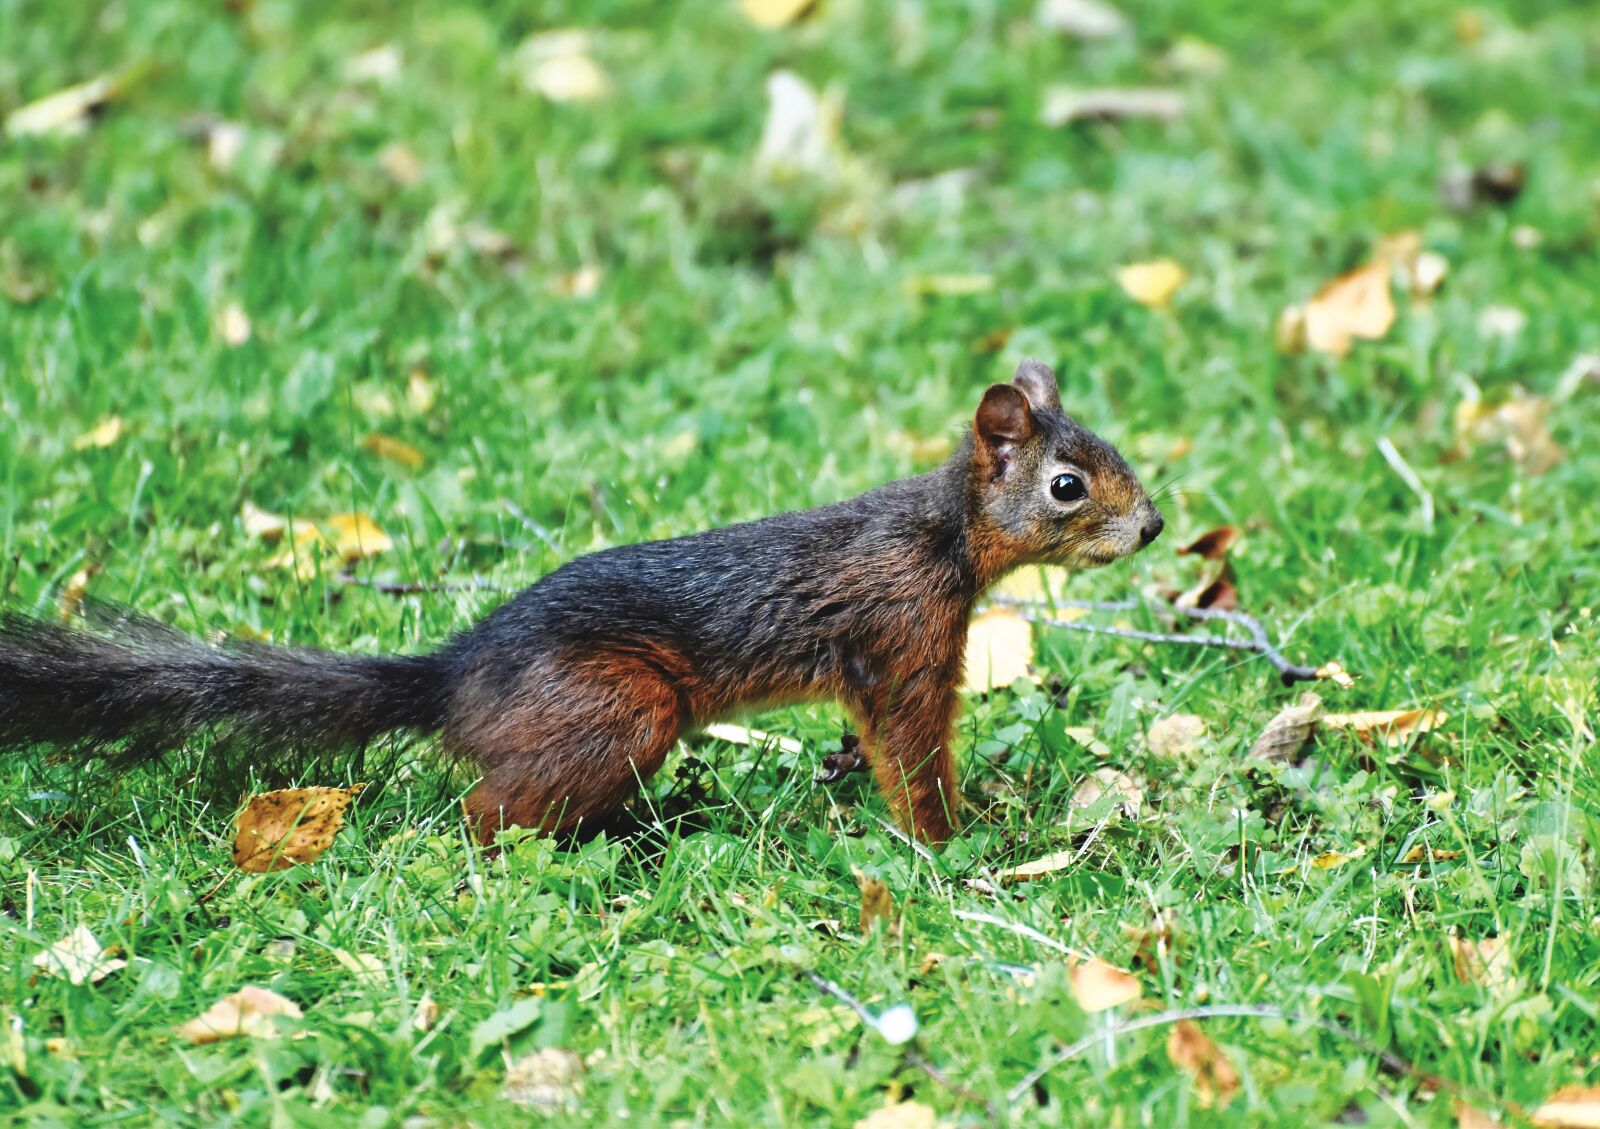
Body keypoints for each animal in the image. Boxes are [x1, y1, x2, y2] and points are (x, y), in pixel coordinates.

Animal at [0, 360, 1162, 846]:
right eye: (1067, 485)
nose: (1151, 527)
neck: (943, 535)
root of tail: (452, 676)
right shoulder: (902, 633)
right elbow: (910, 747)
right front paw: (949, 844)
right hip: (617, 707)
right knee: (484, 811)